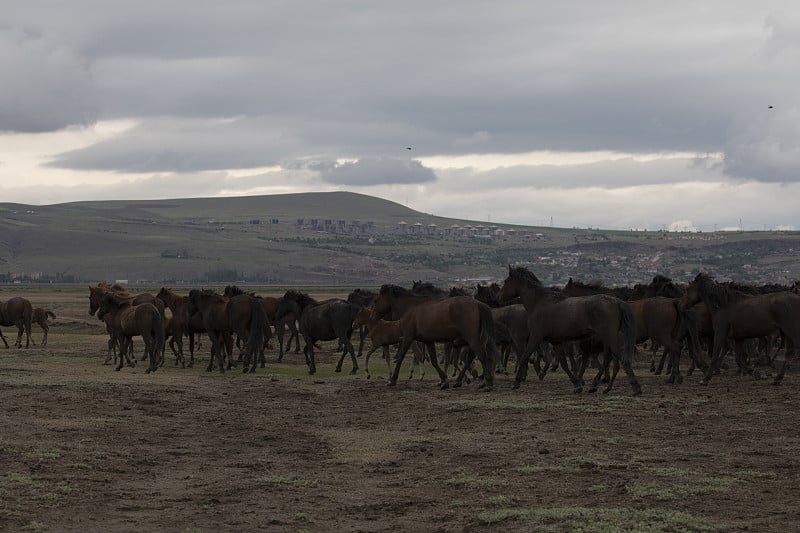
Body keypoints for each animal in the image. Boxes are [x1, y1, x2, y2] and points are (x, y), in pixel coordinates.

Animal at [496, 266, 640, 394]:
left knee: (620, 359)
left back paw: (634, 387)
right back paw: (601, 387)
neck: (539, 303)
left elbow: (524, 357)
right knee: (610, 359)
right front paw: (577, 385)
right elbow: (564, 364)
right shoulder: (556, 342)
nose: (498, 297)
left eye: (506, 281)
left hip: (608, 337)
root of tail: (617, 302)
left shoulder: (535, 338)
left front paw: (516, 382)